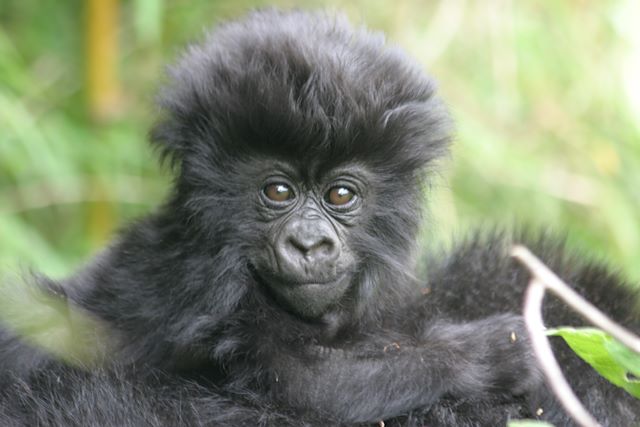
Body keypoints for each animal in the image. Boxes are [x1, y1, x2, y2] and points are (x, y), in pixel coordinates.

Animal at [1, 7, 640, 427]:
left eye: (340, 195)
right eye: (279, 190)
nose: (309, 245)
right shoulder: (209, 284)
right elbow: (306, 384)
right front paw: (498, 350)